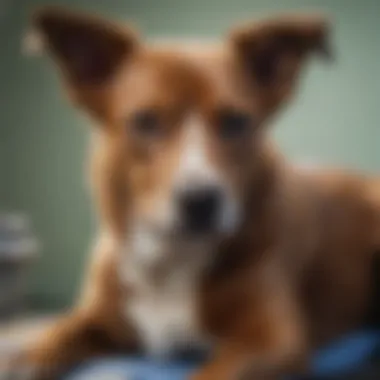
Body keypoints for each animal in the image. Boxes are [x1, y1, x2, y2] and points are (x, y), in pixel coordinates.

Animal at [7, 5, 380, 380]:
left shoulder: (272, 341)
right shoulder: (102, 319)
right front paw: (26, 358)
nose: (200, 200)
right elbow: (59, 332)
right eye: (145, 121)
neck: (171, 258)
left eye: (236, 121)